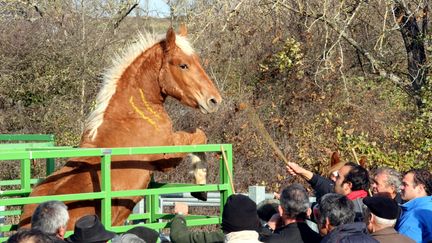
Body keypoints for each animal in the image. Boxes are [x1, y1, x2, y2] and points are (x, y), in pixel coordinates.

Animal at [18, 25, 221, 230]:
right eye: (183, 65)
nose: (214, 100)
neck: (131, 115)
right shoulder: (167, 156)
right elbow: (199, 136)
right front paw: (201, 186)